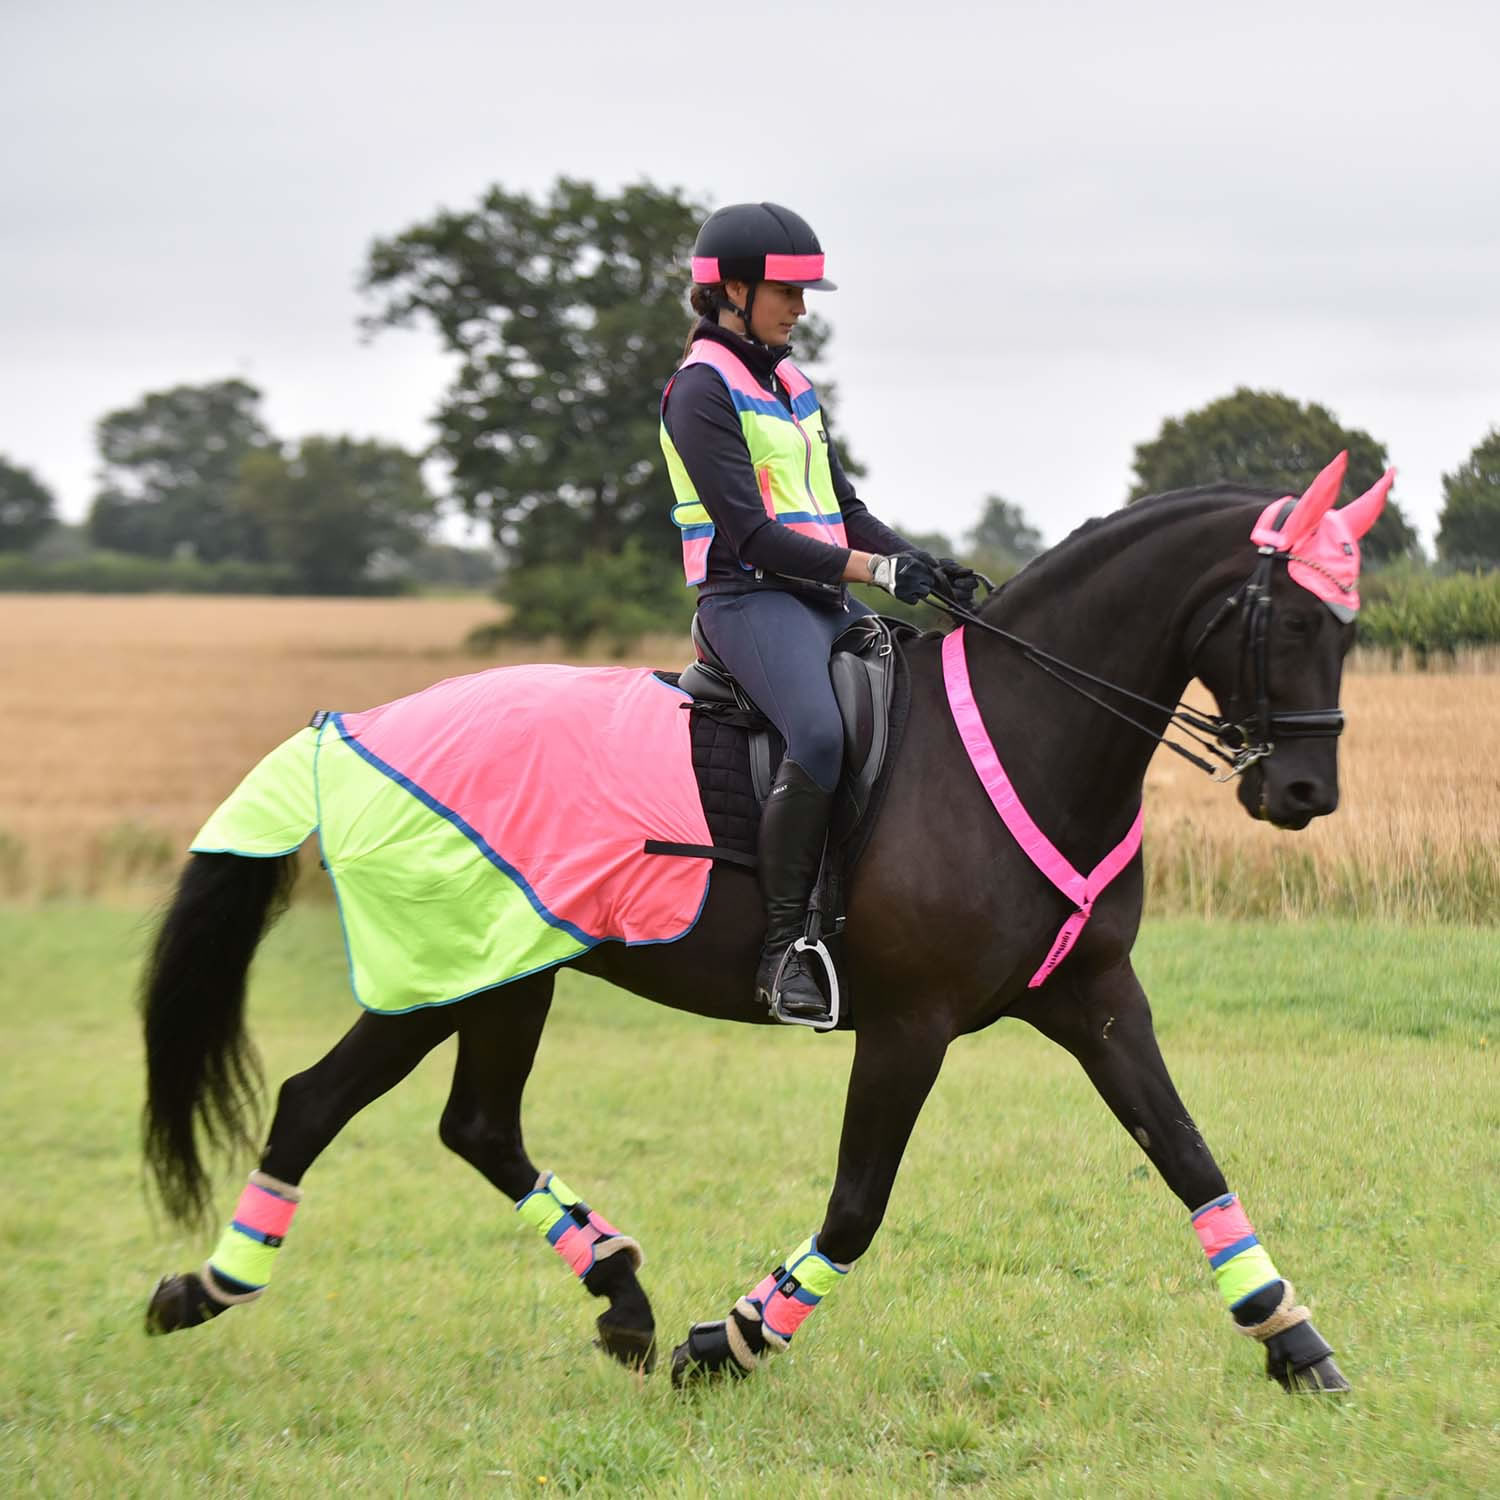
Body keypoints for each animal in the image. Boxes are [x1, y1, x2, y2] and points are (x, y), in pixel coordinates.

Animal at [135, 453, 1386, 1392]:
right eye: (1288, 621)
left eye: (1351, 626)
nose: (1304, 795)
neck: (1025, 734)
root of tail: (352, 727)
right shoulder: (910, 1026)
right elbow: (858, 1205)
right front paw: (734, 1339)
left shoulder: (1092, 996)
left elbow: (1187, 1154)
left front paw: (1294, 1341)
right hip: (447, 977)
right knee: (316, 1103)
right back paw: (205, 1289)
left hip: (512, 973)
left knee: (476, 1127)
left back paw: (621, 1299)